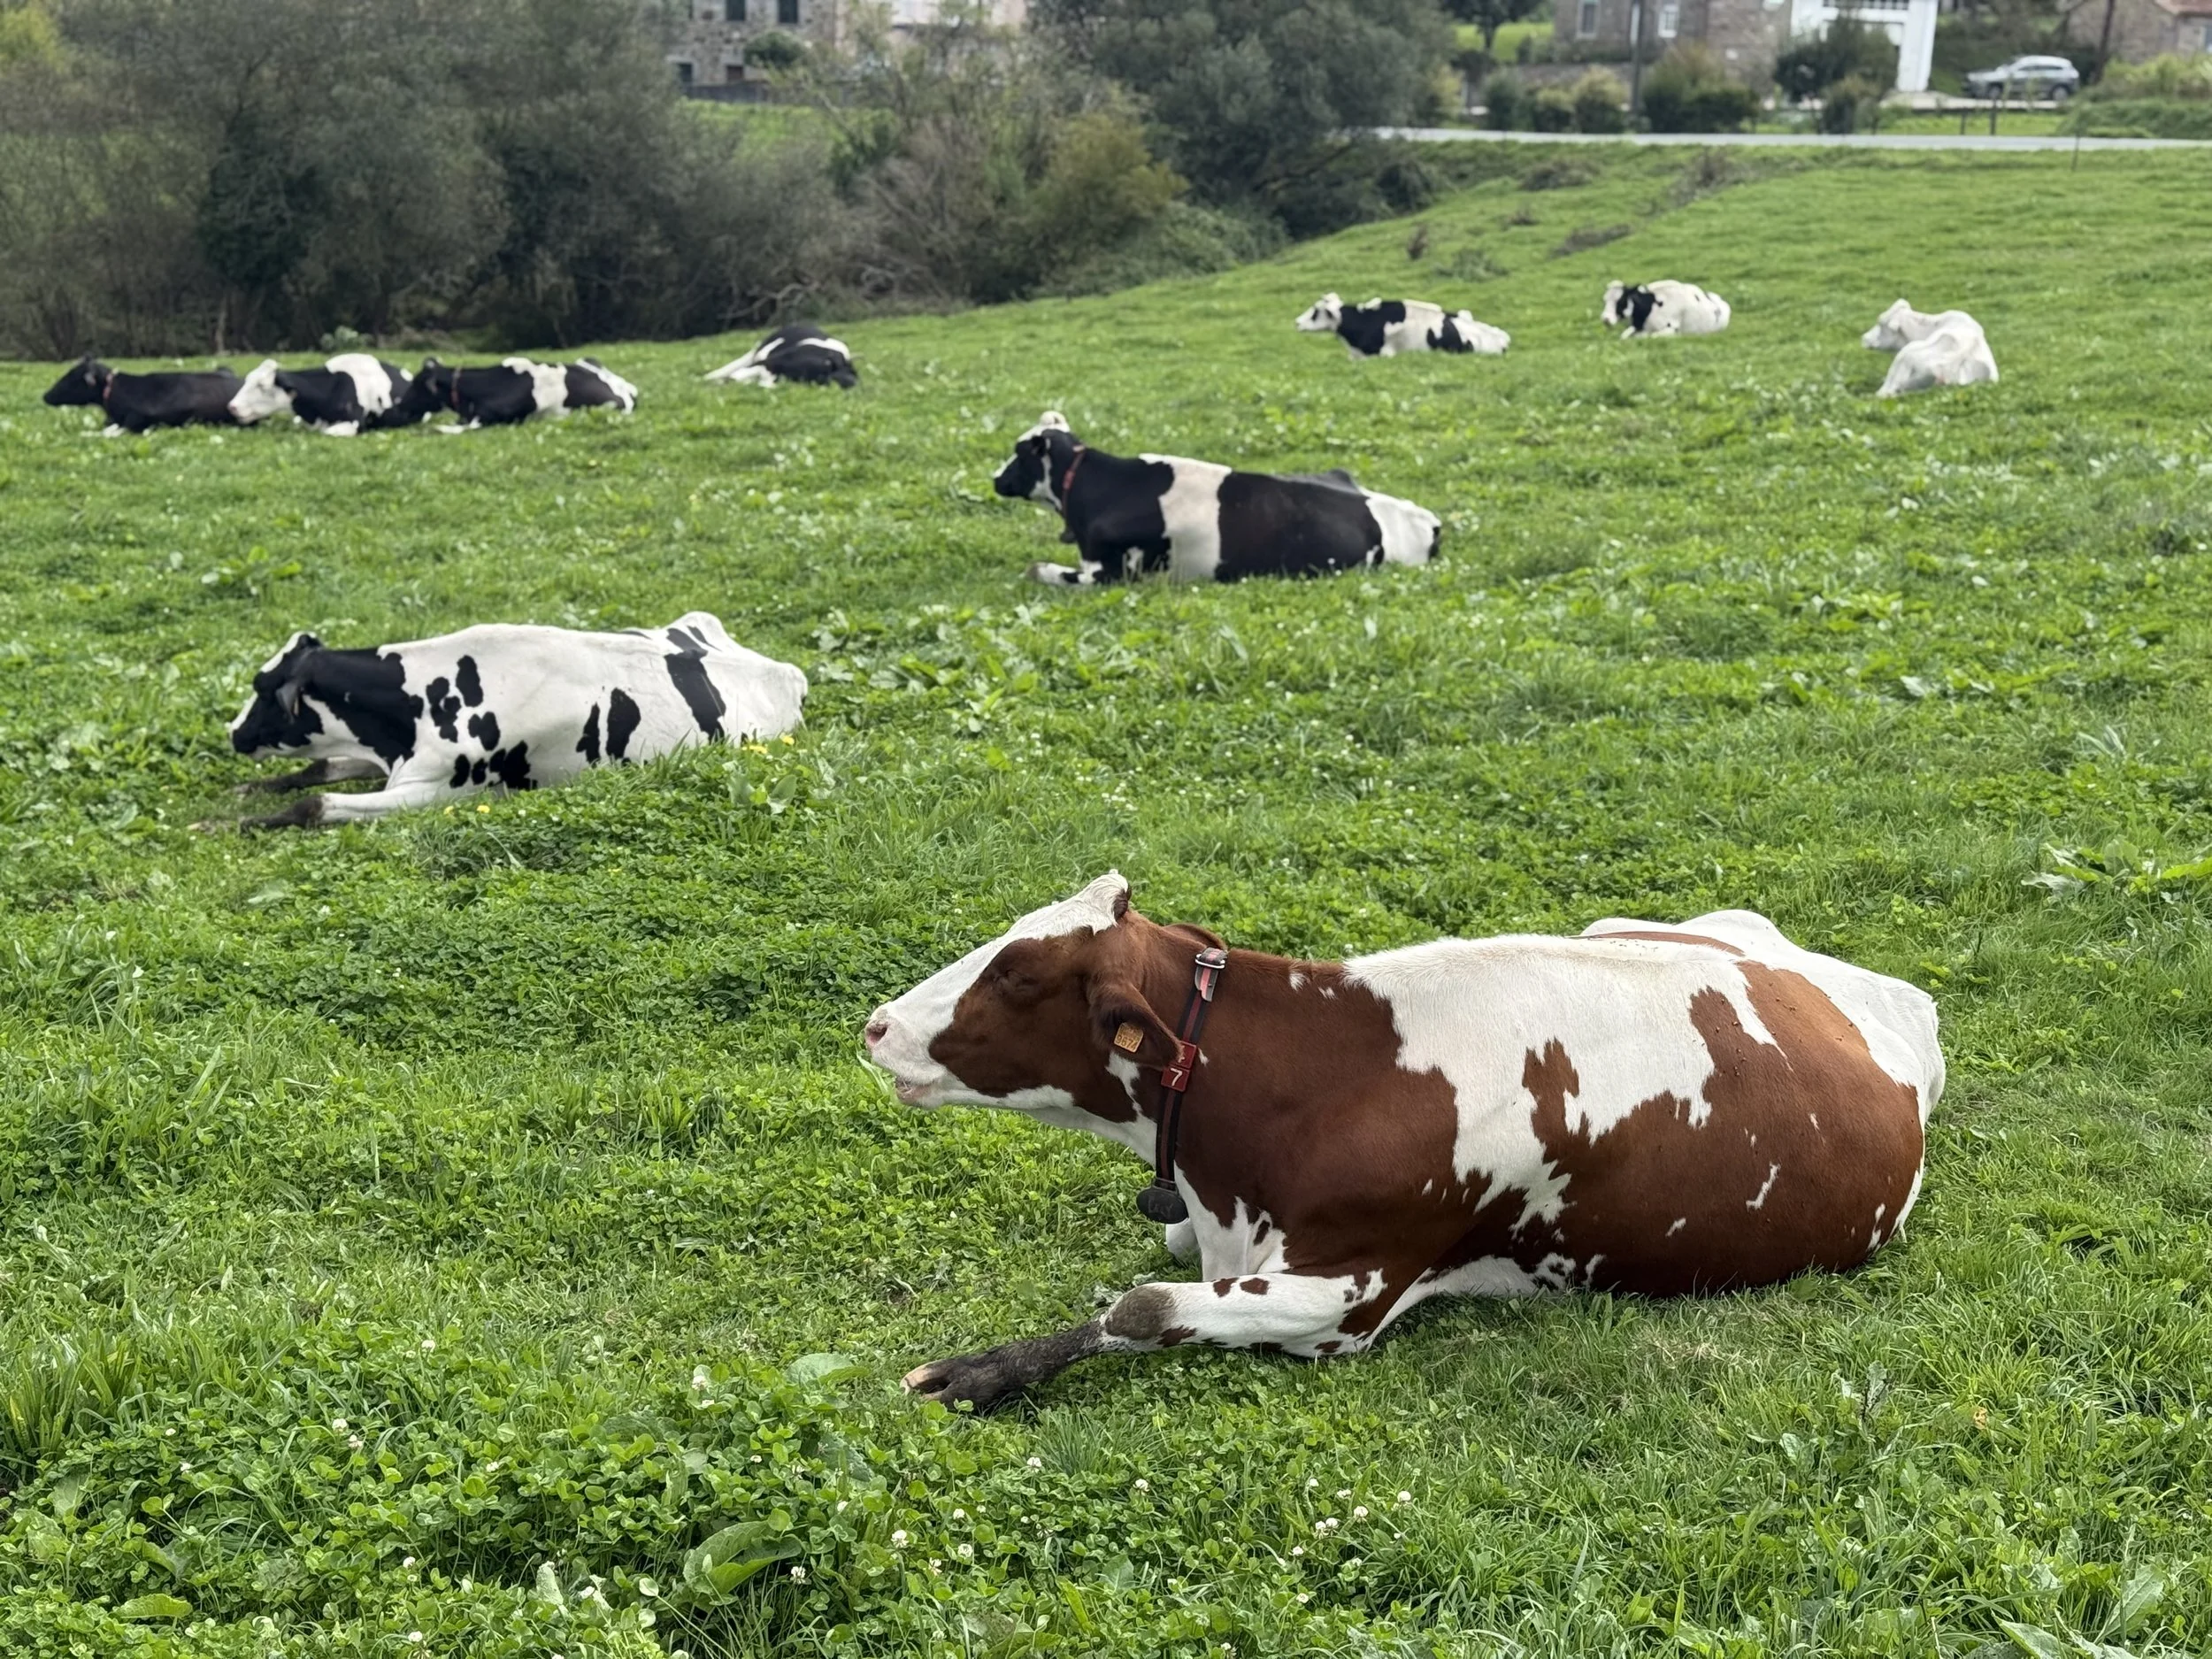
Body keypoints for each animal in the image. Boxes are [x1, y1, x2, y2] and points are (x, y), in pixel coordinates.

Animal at [220, 612, 807, 829]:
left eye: (262, 690)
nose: (234, 733)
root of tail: (788, 671)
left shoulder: (439, 791)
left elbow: (316, 802)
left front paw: (228, 824)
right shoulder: (395, 764)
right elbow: (315, 771)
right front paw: (244, 792)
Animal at [863, 872, 1943, 1411]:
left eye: (1018, 975)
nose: (875, 1025)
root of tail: (1849, 981)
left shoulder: (1349, 1297)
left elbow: (1139, 1305)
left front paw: (975, 1372)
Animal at [1600, 280, 1732, 338]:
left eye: (1621, 301)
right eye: (1605, 300)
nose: (1606, 319)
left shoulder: (1672, 329)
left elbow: (1652, 336)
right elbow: (1623, 337)